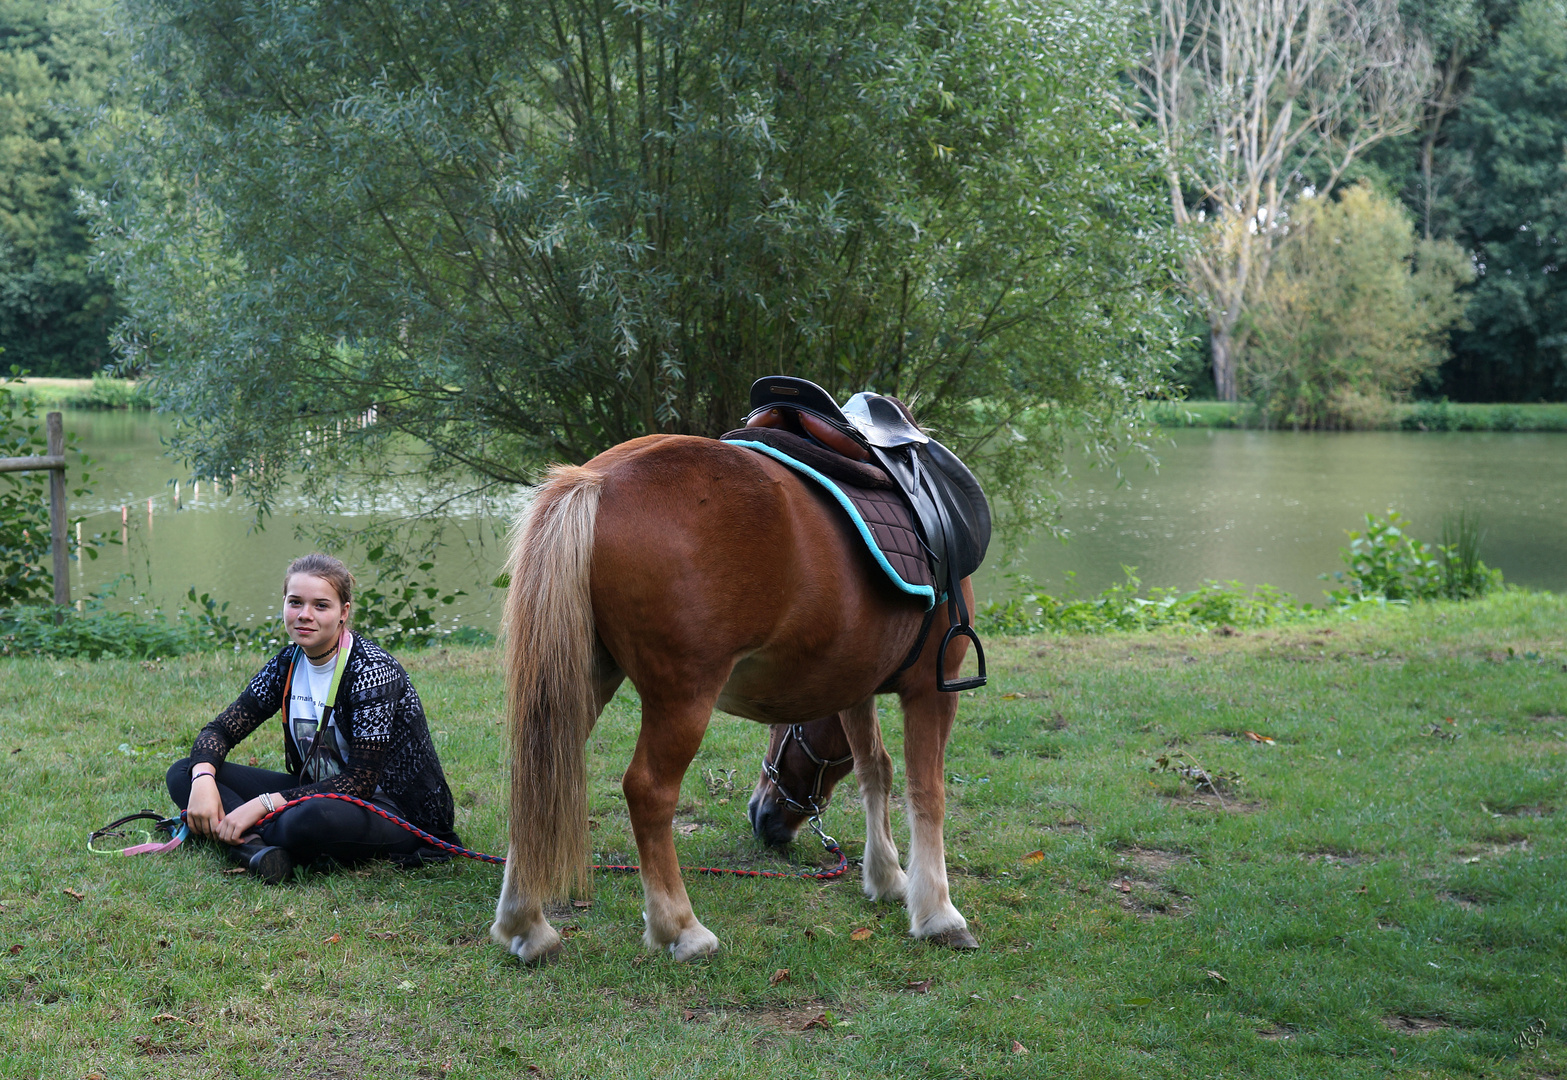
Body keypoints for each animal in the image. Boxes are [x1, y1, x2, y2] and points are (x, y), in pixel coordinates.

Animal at [495, 429, 971, 959]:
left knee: (539, 773)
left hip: (581, 680)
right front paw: (938, 912)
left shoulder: (855, 683)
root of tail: (598, 478)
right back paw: (680, 927)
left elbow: (875, 769)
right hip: (684, 697)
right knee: (648, 791)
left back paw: (525, 923)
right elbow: (926, 792)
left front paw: (887, 878)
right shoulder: (932, 687)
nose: (762, 817)